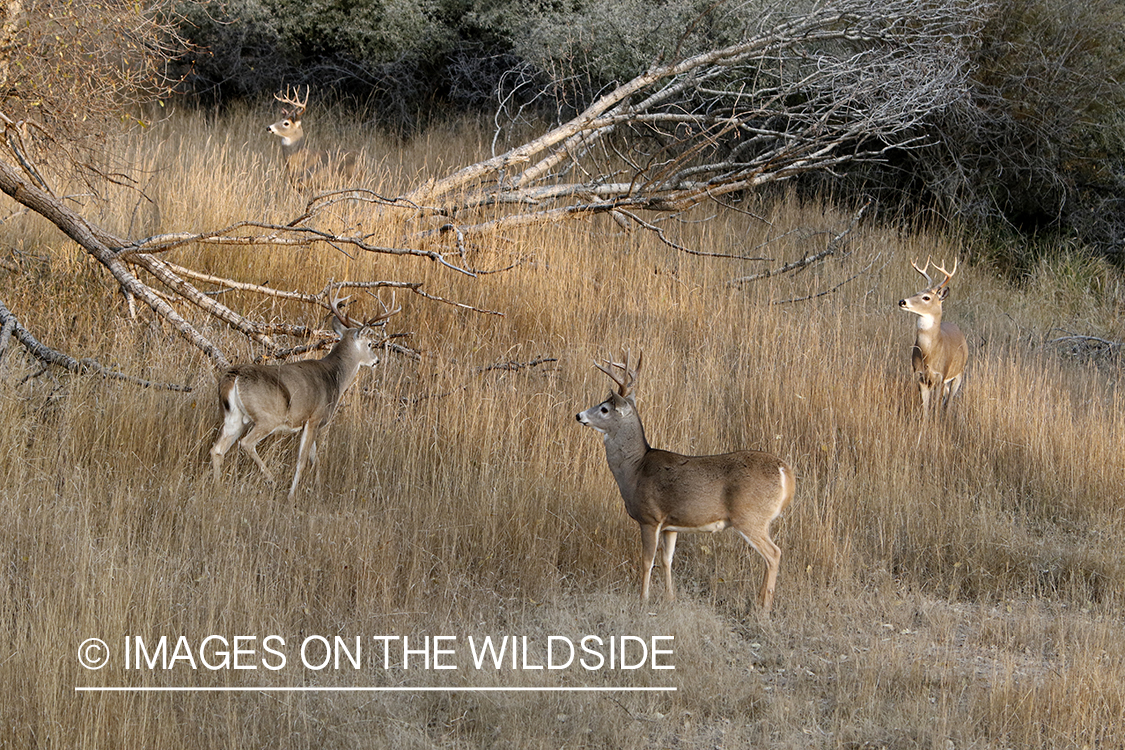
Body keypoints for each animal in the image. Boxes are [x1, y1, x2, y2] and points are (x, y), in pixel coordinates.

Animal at [211, 299, 396, 499]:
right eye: (369, 344)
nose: (376, 361)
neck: (334, 377)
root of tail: (234, 376)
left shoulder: (309, 423)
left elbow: (315, 458)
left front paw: (317, 489)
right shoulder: (314, 417)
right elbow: (302, 460)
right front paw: (292, 496)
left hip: (234, 417)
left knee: (217, 449)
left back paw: (218, 489)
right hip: (267, 417)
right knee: (246, 443)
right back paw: (272, 480)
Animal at [576, 355, 796, 611]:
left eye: (604, 408)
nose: (579, 415)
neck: (635, 469)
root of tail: (785, 471)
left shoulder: (649, 517)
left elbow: (647, 560)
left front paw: (643, 599)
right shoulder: (670, 525)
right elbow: (667, 559)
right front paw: (670, 598)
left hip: (750, 516)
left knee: (774, 554)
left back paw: (764, 607)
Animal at [895, 258, 967, 416]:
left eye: (926, 297)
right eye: (916, 292)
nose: (902, 301)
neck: (929, 354)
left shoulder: (941, 375)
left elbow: (937, 406)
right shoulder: (920, 376)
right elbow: (925, 408)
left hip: (959, 373)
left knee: (949, 401)